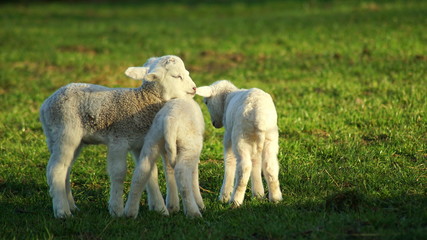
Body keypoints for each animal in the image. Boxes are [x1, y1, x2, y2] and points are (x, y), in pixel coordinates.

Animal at [40, 55, 197, 218]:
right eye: (176, 76)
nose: (194, 88)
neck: (142, 101)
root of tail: (45, 105)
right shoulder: (118, 140)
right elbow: (118, 173)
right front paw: (116, 209)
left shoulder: (140, 144)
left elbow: (150, 173)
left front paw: (160, 209)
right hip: (65, 132)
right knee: (56, 169)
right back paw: (62, 211)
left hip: (61, 138)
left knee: (66, 169)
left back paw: (71, 206)